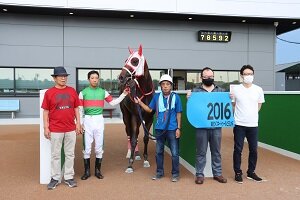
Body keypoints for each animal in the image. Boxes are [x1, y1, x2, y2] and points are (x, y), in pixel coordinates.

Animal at [118, 45, 155, 173]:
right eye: (125, 60)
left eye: (135, 61)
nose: (121, 77)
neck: (144, 93)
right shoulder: (134, 116)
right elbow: (133, 139)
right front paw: (130, 164)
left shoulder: (149, 118)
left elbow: (145, 138)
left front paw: (146, 160)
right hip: (126, 116)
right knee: (129, 133)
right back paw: (130, 153)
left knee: (137, 133)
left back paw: (137, 154)